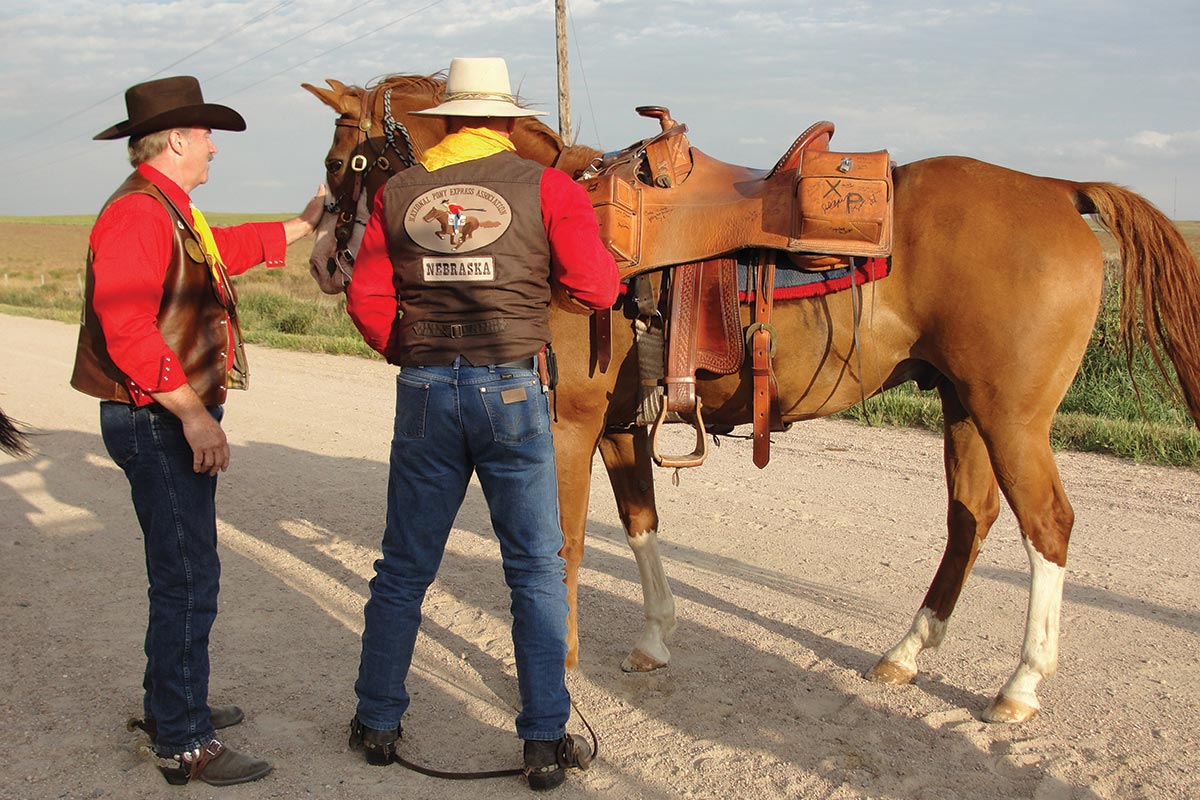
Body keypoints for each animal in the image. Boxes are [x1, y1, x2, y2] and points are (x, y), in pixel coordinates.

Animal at [302, 74, 1200, 724]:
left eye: (341, 162)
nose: (319, 259)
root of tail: (1057, 188)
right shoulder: (619, 427)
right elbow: (639, 524)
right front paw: (655, 639)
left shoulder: (567, 423)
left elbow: (563, 546)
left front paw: (560, 669)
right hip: (964, 406)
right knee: (970, 519)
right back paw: (908, 652)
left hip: (1011, 415)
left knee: (1047, 526)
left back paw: (1019, 686)